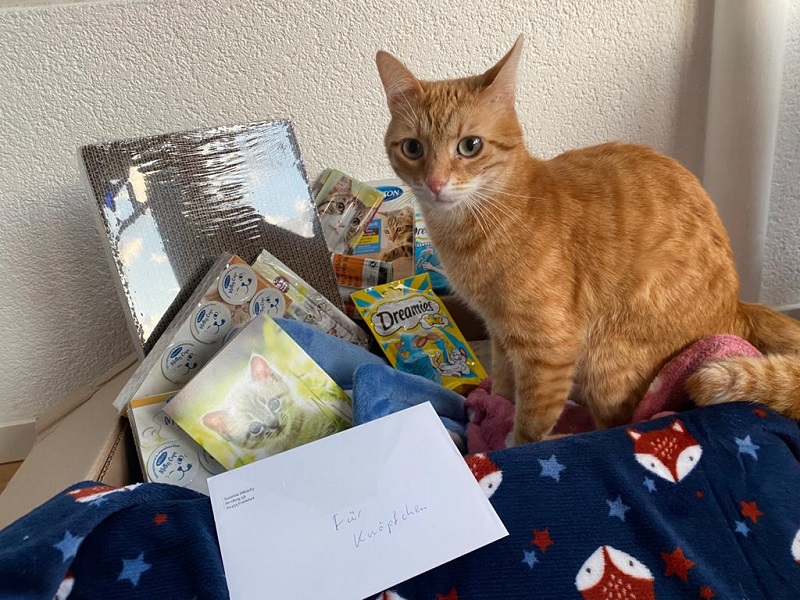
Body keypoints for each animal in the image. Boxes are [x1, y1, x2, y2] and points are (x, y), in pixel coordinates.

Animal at [375, 35, 800, 445]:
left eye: (470, 146)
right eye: (413, 147)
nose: (435, 183)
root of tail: (738, 309)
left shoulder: (550, 347)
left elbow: (531, 424)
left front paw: (511, 444)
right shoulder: (500, 334)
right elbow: (505, 389)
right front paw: (491, 412)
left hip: (607, 357)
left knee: (617, 424)